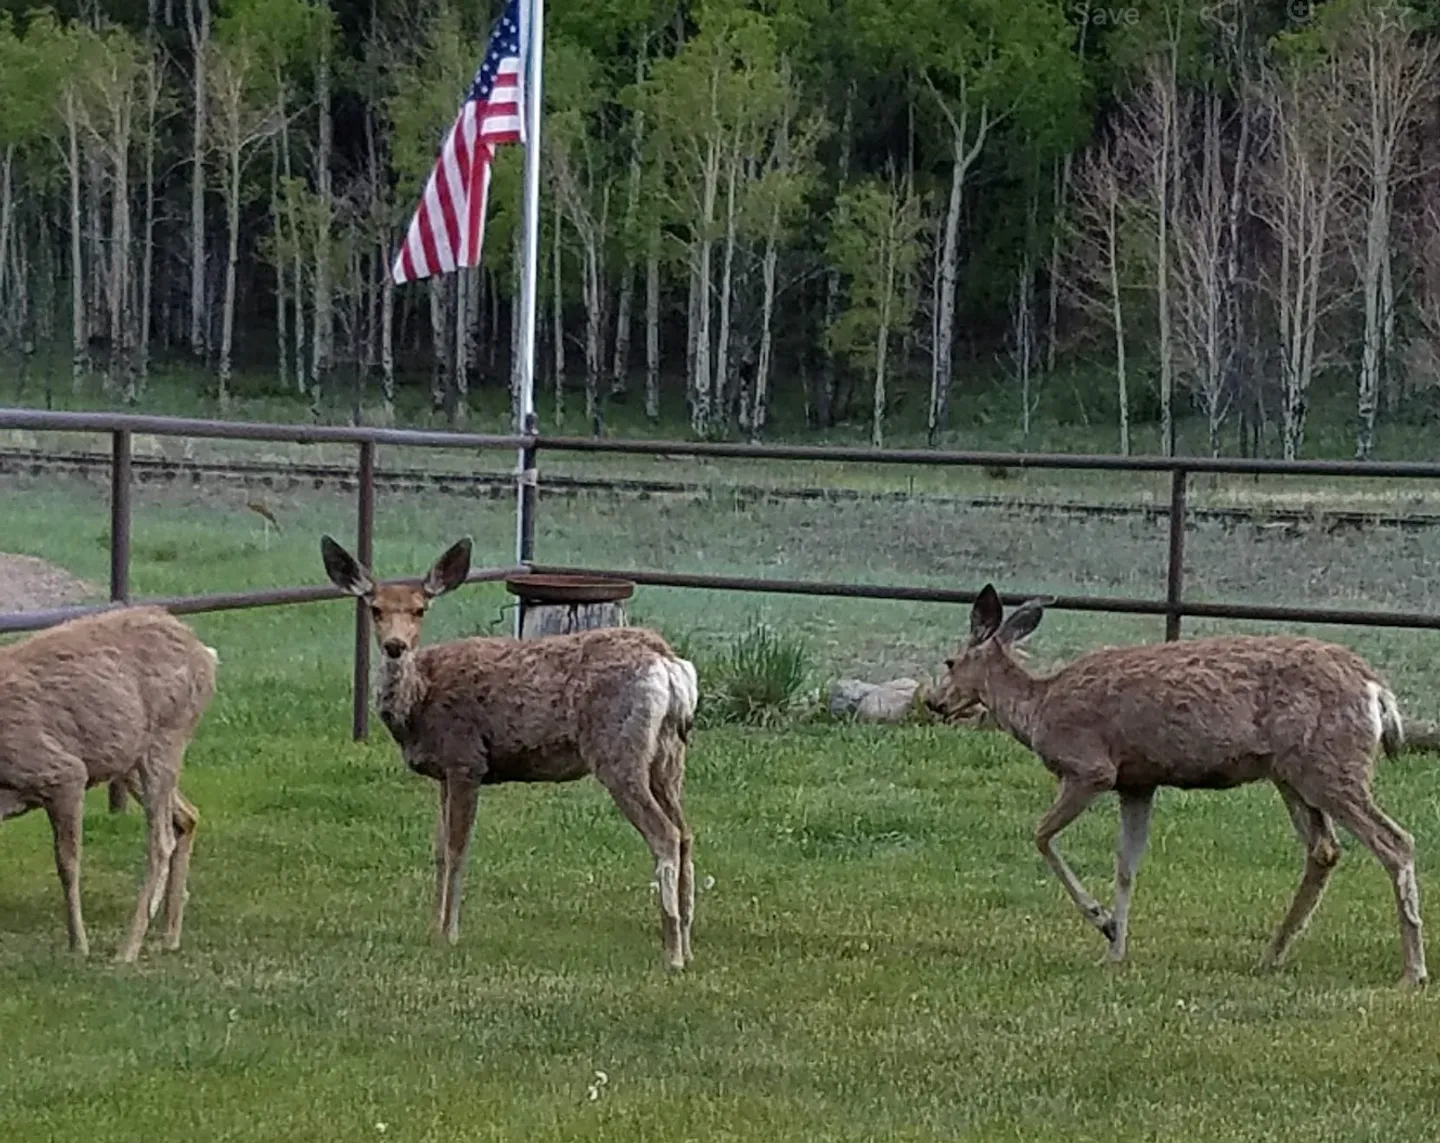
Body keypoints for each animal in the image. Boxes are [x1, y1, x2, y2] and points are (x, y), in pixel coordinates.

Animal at [0, 606, 217, 962]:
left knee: (162, 841)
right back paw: (169, 935)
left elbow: (67, 863)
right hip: (129, 759)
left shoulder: (62, 772)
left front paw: (79, 946)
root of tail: (207, 654)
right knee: (187, 816)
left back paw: (127, 949)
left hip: (167, 736)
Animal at [319, 535, 701, 971]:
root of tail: (669, 664)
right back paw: (687, 944)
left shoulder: (466, 759)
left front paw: (449, 934)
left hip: (619, 750)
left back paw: (673, 953)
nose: (395, 646)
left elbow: (457, 849)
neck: (418, 704)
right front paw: (431, 929)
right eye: (376, 608)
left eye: (420, 609)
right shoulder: (444, 772)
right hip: (668, 758)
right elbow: (437, 850)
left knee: (665, 834)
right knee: (687, 833)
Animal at [925, 584, 1427, 988]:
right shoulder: (1138, 782)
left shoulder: (1091, 767)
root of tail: (1378, 691)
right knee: (1324, 850)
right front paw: (1115, 947)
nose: (934, 702)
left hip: (1328, 765)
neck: (1039, 708)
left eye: (951, 660)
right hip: (1292, 773)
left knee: (1395, 841)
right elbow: (1126, 866)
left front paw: (1102, 922)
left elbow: (1042, 835)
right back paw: (1271, 956)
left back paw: (1413, 972)